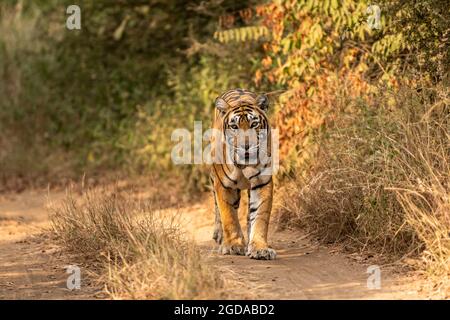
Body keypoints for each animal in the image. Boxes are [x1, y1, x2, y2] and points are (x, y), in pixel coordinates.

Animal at [209, 88, 276, 260]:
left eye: (254, 124)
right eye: (234, 126)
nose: (246, 146)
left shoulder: (262, 183)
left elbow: (260, 216)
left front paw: (260, 248)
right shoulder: (223, 185)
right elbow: (229, 216)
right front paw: (233, 246)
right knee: (217, 207)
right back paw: (219, 235)